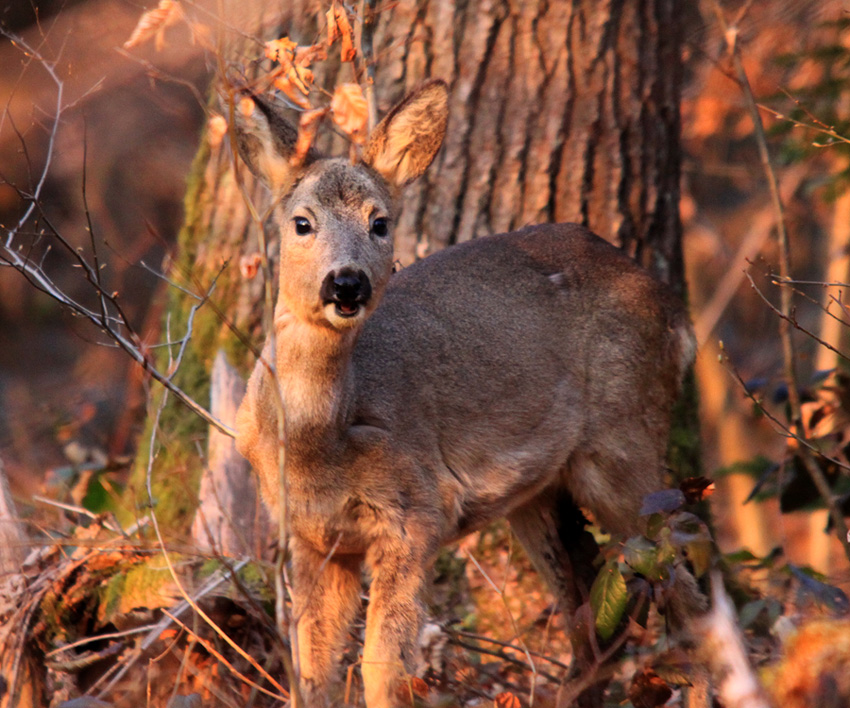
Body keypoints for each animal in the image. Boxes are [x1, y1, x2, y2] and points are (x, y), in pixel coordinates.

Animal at [232, 77, 704, 708]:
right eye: (302, 223)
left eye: (381, 222)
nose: (347, 283)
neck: (315, 443)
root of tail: (679, 317)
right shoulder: (312, 539)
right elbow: (312, 672)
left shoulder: (416, 512)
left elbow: (383, 668)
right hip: (540, 492)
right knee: (595, 622)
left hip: (624, 440)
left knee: (684, 590)